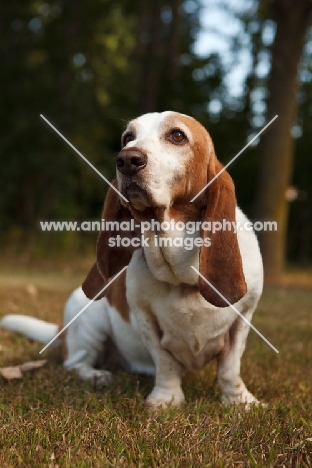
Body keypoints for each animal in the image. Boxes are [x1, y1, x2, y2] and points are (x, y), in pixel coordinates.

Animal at [0, 112, 264, 406]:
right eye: (128, 137)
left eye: (177, 135)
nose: (127, 159)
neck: (181, 276)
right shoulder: (146, 318)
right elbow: (166, 364)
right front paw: (166, 400)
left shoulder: (243, 318)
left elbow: (230, 368)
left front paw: (240, 402)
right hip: (89, 325)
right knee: (74, 363)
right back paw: (97, 376)